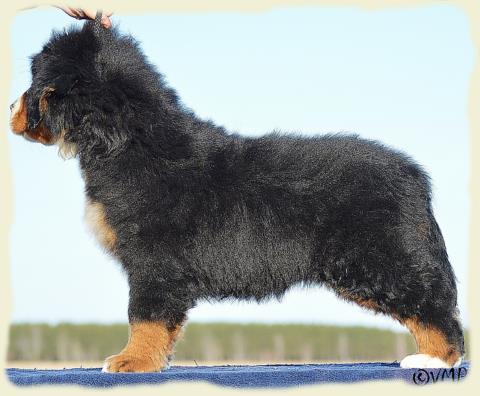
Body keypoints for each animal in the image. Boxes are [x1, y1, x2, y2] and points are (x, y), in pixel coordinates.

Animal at [8, 17, 464, 372]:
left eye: (35, 84)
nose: (11, 107)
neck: (127, 139)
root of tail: (413, 175)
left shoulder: (154, 261)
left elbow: (144, 316)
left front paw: (131, 361)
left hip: (380, 257)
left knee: (434, 306)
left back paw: (436, 359)